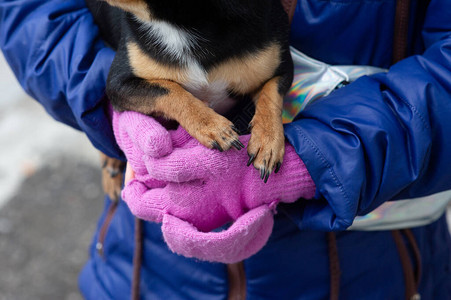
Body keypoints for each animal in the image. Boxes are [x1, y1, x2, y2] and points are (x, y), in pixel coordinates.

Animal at [86, 0, 294, 202]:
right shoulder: (118, 83)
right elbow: (169, 89)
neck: (181, 22)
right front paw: (212, 126)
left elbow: (270, 95)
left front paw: (268, 141)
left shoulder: (281, 67)